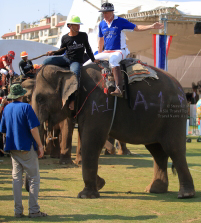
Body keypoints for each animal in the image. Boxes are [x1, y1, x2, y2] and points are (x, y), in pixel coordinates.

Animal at [31, 63, 195, 198]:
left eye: (40, 99)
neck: (71, 71)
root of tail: (181, 88)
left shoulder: (99, 104)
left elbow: (92, 141)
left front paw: (86, 195)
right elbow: (86, 140)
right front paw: (100, 184)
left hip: (173, 115)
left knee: (173, 149)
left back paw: (185, 194)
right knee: (157, 151)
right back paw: (154, 190)